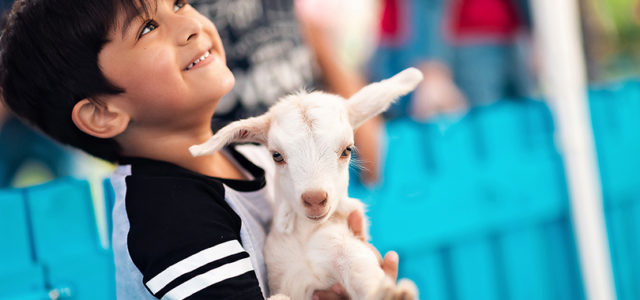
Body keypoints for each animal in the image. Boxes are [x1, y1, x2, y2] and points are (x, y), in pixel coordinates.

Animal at [190, 68, 422, 300]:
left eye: (347, 150)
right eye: (276, 155)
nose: (315, 199)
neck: (305, 237)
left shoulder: (347, 248)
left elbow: (363, 274)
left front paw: (394, 294)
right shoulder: (282, 278)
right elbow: (281, 297)